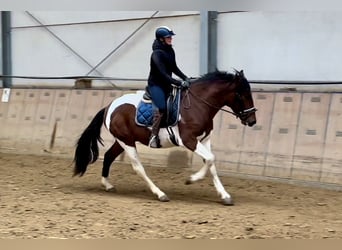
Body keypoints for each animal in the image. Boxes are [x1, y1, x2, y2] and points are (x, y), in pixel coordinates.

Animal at [73, 70, 256, 205]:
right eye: (241, 94)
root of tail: (109, 106)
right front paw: (191, 179)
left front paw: (224, 195)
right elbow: (211, 159)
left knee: (109, 157)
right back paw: (160, 194)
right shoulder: (188, 140)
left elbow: (211, 163)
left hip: (123, 141)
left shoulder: (205, 139)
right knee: (138, 168)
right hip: (127, 142)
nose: (252, 120)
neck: (198, 104)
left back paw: (108, 185)